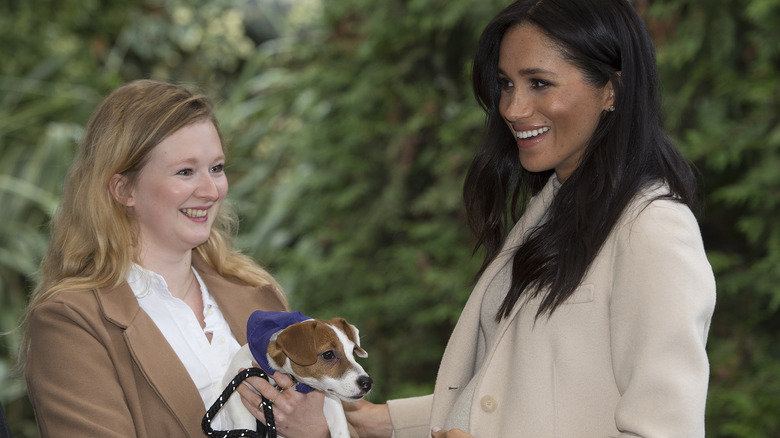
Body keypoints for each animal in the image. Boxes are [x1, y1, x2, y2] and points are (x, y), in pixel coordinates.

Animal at [215, 310, 370, 436]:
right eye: (328, 354)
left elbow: (339, 424)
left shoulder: (330, 399)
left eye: (353, 351)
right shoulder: (236, 385)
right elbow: (244, 420)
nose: (367, 383)